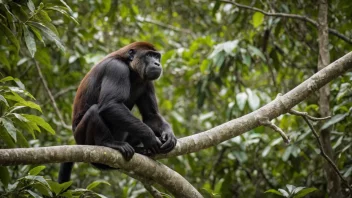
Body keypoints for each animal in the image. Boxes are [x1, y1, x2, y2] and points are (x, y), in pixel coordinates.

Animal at [59, 41, 179, 184]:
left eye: (157, 56)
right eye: (149, 55)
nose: (157, 63)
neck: (131, 68)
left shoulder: (147, 82)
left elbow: (151, 116)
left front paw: (168, 134)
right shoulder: (116, 69)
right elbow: (111, 104)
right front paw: (149, 137)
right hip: (82, 139)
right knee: (94, 110)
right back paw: (107, 143)